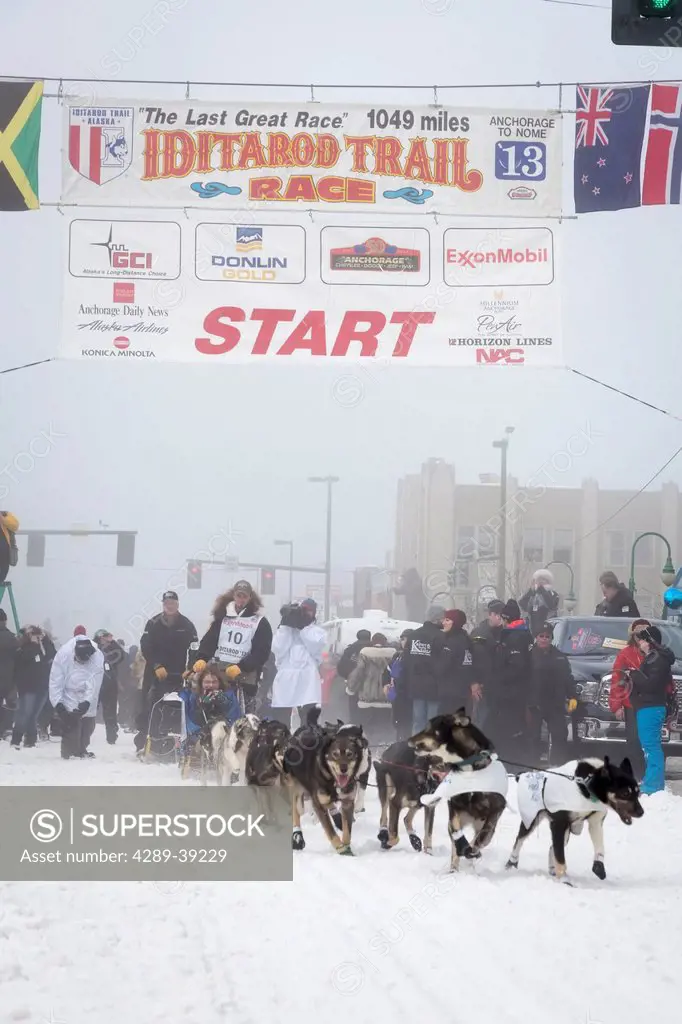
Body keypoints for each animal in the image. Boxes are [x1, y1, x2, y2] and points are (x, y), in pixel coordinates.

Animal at [280, 704, 366, 856]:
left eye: (350, 754)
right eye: (335, 754)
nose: (343, 769)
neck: (331, 778)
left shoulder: (347, 802)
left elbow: (347, 830)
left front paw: (347, 846)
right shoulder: (318, 804)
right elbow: (331, 832)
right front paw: (340, 848)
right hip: (296, 786)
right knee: (296, 812)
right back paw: (297, 837)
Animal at [409, 712, 503, 872]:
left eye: (429, 727)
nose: (409, 740)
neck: (469, 768)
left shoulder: (494, 812)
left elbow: (483, 838)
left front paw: (473, 850)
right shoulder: (454, 807)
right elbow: (456, 833)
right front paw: (462, 847)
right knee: (455, 847)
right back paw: (454, 869)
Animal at [503, 757, 643, 884]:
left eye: (638, 793)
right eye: (625, 793)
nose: (641, 812)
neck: (587, 785)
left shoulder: (595, 823)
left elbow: (600, 848)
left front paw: (598, 865)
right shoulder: (559, 824)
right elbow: (560, 857)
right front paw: (564, 879)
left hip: (565, 833)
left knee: (552, 847)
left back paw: (552, 869)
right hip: (531, 821)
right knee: (519, 841)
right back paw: (511, 863)